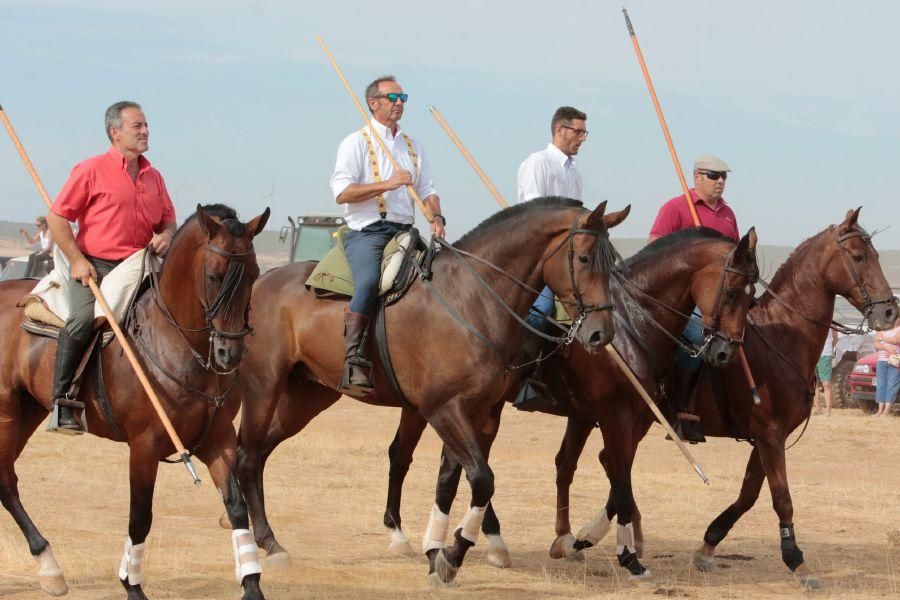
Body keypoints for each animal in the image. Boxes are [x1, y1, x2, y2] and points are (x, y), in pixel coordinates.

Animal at [0, 204, 268, 596]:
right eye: (214, 276)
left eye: (255, 275)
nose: (228, 354)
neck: (175, 341)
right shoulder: (144, 445)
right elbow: (140, 516)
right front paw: (131, 584)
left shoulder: (218, 439)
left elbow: (235, 506)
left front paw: (251, 583)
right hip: (5, 409)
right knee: (5, 479)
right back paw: (49, 564)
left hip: (29, 408)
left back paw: (49, 567)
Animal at [229, 197, 628, 584]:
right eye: (584, 258)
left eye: (613, 264)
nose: (601, 334)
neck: (473, 299)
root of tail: (263, 282)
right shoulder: (444, 410)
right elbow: (481, 479)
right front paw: (452, 556)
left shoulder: (477, 412)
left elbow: (449, 481)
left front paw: (437, 551)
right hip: (265, 386)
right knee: (247, 456)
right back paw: (269, 543)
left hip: (306, 397)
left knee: (258, 452)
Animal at [380, 227, 760, 580]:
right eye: (731, 291)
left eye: (753, 298)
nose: (725, 353)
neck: (631, 324)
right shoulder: (614, 416)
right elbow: (617, 480)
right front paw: (623, 554)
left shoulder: (618, 418)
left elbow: (597, 472)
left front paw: (575, 540)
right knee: (413, 456)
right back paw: (422, 538)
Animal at [560, 209, 896, 588]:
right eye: (858, 256)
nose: (889, 312)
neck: (782, 338)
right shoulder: (769, 433)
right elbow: (781, 499)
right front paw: (797, 561)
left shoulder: (768, 437)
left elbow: (749, 494)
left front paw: (708, 545)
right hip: (618, 416)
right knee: (610, 464)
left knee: (613, 464)